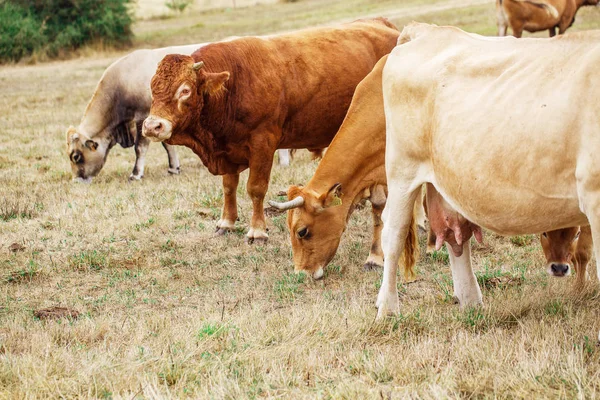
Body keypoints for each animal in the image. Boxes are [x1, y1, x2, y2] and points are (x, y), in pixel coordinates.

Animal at [65, 42, 298, 183]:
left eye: (76, 156)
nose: (77, 180)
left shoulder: (143, 119)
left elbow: (140, 148)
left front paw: (136, 174)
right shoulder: (160, 121)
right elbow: (168, 145)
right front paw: (173, 168)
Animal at [142, 18, 400, 244]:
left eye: (185, 90)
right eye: (152, 88)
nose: (152, 126)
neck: (234, 85)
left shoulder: (262, 144)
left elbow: (256, 189)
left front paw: (257, 230)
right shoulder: (227, 148)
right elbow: (229, 187)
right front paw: (227, 222)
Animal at [378, 23, 596, 320]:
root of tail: (428, 30)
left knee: (456, 236)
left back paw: (471, 301)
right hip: (402, 168)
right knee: (394, 232)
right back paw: (387, 309)